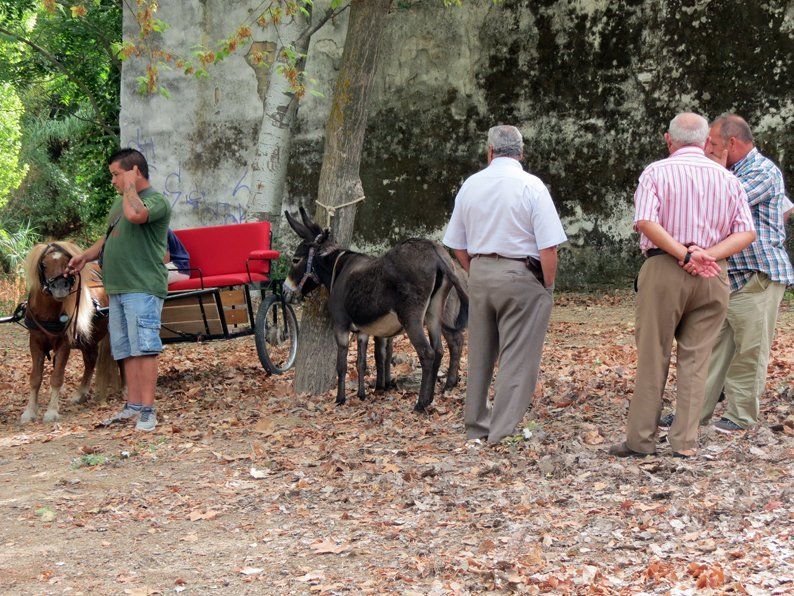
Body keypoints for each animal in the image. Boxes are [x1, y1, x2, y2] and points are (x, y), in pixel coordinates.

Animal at [20, 242, 118, 424]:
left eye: (68, 263)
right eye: (43, 265)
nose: (60, 288)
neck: (47, 313)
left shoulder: (64, 344)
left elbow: (57, 377)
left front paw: (51, 411)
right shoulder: (35, 342)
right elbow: (35, 378)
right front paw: (29, 412)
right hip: (88, 340)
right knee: (90, 361)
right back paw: (81, 393)